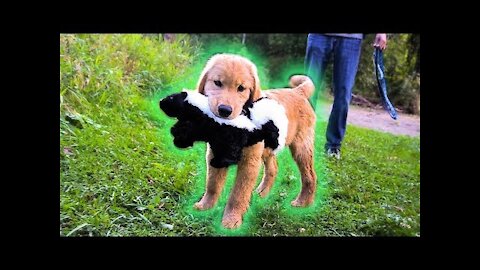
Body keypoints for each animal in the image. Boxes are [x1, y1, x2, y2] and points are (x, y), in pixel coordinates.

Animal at [193, 52, 316, 228]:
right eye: (217, 83)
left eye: (241, 88)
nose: (225, 110)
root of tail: (298, 91)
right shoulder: (216, 154)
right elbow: (212, 184)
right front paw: (205, 206)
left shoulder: (249, 162)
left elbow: (238, 194)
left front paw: (231, 220)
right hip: (267, 149)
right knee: (273, 169)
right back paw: (262, 193)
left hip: (301, 147)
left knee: (310, 176)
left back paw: (303, 202)